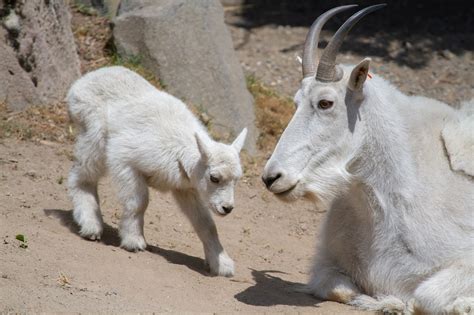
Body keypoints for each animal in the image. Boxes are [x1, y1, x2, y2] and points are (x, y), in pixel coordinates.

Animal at [262, 3, 474, 314]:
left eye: (325, 102)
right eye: (296, 102)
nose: (272, 177)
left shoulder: (465, 262)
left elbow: (425, 296)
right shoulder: (327, 263)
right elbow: (340, 289)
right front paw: (384, 302)